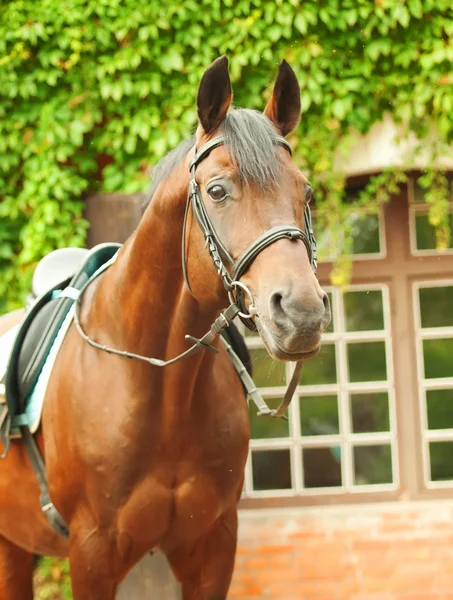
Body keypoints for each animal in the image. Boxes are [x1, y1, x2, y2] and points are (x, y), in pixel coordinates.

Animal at [0, 57, 328, 600]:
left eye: (307, 192)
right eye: (217, 191)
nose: (301, 313)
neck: (154, 382)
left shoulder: (213, 547)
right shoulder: (92, 554)